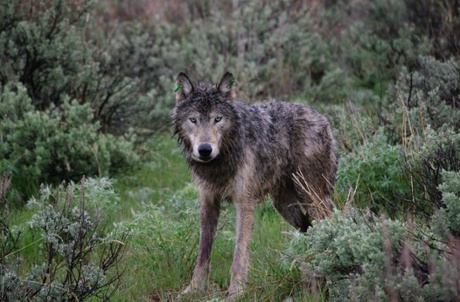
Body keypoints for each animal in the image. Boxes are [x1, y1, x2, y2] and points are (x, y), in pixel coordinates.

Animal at [172, 71, 338, 300]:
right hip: (285, 206)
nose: (204, 150)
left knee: (328, 225)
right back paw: (313, 281)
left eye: (217, 119)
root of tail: (323, 118)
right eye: (193, 120)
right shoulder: (208, 202)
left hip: (311, 198)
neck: (221, 163)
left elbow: (239, 254)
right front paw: (194, 290)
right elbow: (202, 254)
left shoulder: (245, 203)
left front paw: (236, 292)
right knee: (308, 229)